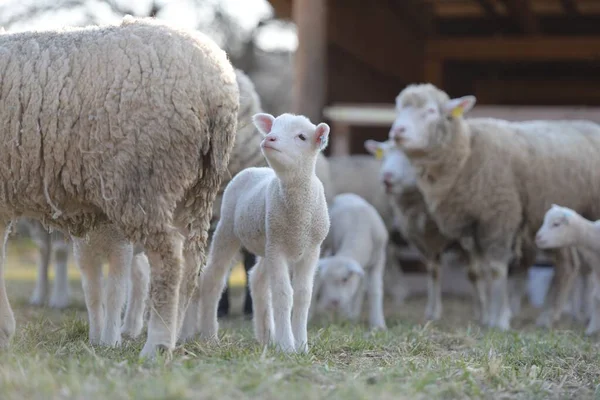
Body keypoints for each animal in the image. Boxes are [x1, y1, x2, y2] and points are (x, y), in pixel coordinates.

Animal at [0, 17, 239, 360]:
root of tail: (218, 86)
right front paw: (5, 331)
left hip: (143, 182)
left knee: (169, 258)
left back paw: (157, 344)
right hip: (196, 187)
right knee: (191, 261)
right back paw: (174, 338)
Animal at [198, 112, 330, 354]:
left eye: (302, 137)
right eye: (273, 127)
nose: (269, 138)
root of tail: (255, 169)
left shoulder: (310, 250)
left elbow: (302, 295)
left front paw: (302, 346)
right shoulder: (277, 249)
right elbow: (283, 294)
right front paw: (288, 347)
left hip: (265, 244)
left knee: (257, 279)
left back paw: (266, 337)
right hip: (228, 228)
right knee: (213, 277)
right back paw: (209, 335)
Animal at [310, 193, 390, 328]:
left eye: (345, 279)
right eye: (325, 281)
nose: (333, 302)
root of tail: (346, 195)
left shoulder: (379, 259)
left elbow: (374, 290)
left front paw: (378, 323)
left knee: (360, 288)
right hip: (326, 243)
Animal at [386, 83, 600, 330]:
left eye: (430, 111)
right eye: (398, 109)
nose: (397, 131)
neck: (465, 154)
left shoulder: (499, 216)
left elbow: (497, 269)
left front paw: (500, 320)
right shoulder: (469, 228)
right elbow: (480, 270)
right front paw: (486, 316)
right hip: (552, 225)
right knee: (568, 265)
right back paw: (548, 317)